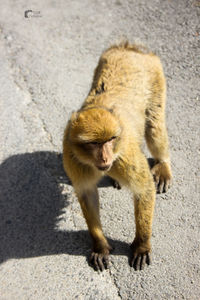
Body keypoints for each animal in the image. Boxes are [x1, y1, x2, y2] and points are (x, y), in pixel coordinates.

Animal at [62, 40, 172, 272]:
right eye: (94, 143)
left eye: (110, 140)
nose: (105, 159)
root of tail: (129, 48)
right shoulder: (73, 158)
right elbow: (87, 194)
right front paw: (100, 245)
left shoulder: (124, 157)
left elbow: (144, 189)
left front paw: (141, 245)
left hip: (156, 78)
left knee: (154, 127)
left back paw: (163, 164)